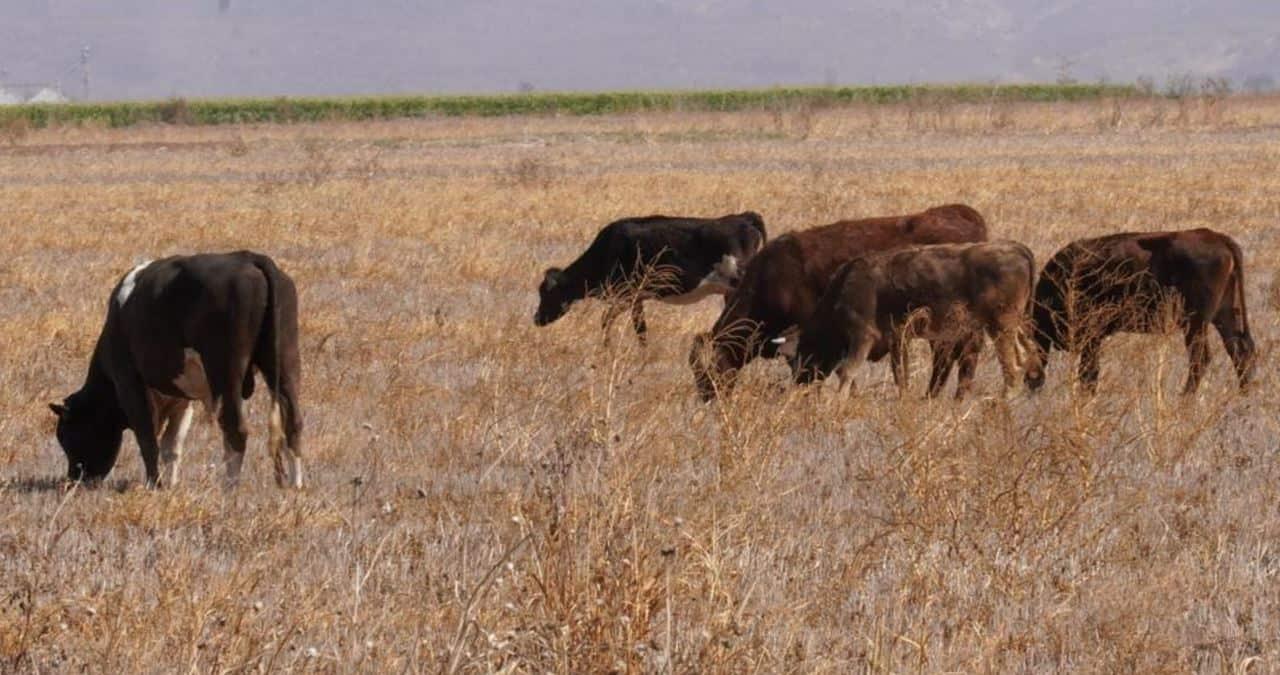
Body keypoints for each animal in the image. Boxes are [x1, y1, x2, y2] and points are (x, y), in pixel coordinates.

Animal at [48, 251, 303, 489]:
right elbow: (172, 445)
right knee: (293, 422)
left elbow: (148, 439)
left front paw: (154, 485)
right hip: (285, 365)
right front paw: (170, 485)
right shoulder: (181, 398)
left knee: (235, 429)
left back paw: (230, 488)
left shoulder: (128, 382)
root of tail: (249, 258)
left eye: (69, 437)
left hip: (226, 374)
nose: (74, 479)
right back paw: (295, 485)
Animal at [532, 212, 762, 343]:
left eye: (547, 293)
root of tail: (742, 218)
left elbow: (607, 319)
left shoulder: (627, 293)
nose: (536, 319)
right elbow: (640, 328)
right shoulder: (638, 298)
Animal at [778, 240, 1039, 402]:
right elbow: (900, 374)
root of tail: (1016, 247)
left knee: (1012, 364)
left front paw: (837, 400)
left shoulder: (863, 336)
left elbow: (848, 370)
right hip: (1014, 325)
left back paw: (1005, 397)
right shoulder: (898, 339)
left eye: (795, 359)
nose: (800, 386)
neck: (846, 284)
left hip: (1001, 325)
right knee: (1026, 354)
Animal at [1024, 227, 1254, 397]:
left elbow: (1088, 372)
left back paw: (1184, 398)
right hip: (1225, 315)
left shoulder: (1092, 336)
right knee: (1239, 350)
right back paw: (1242, 396)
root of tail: (1218, 238)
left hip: (1195, 323)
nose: (1029, 383)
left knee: (1201, 358)